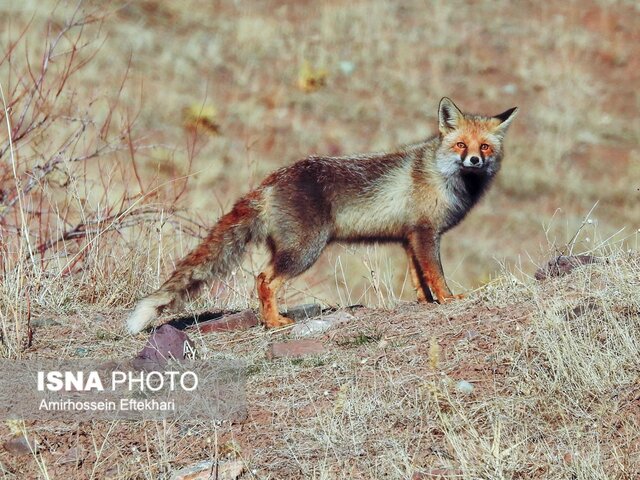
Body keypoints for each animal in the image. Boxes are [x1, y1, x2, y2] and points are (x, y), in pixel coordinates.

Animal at [127, 97, 516, 334]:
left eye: (484, 147)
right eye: (460, 145)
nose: (474, 160)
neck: (441, 175)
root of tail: (268, 182)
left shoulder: (409, 237)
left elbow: (420, 279)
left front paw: (427, 303)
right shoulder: (425, 233)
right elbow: (437, 275)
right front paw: (449, 300)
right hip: (305, 251)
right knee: (264, 279)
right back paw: (275, 323)